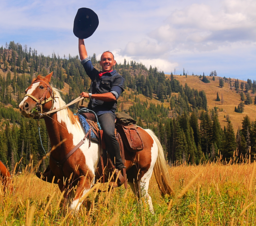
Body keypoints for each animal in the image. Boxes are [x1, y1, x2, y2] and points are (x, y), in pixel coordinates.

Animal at [19, 73, 173, 214]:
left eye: (41, 87)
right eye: (26, 89)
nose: (23, 106)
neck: (67, 139)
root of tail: (148, 133)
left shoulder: (87, 179)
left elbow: (73, 208)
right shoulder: (63, 182)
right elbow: (65, 208)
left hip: (143, 175)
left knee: (147, 198)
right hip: (132, 177)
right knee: (140, 199)